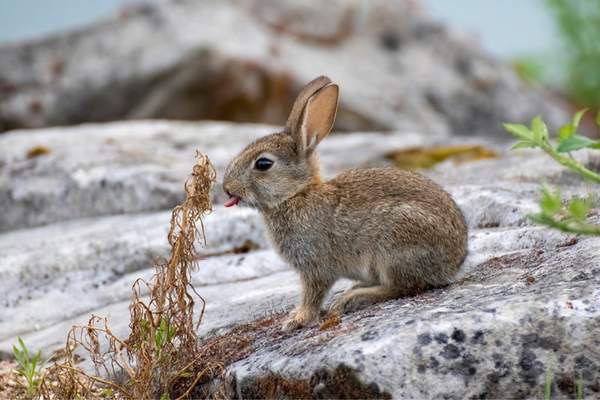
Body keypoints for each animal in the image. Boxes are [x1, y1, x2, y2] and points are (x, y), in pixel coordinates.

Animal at [221, 76, 468, 332]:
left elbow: (313, 295)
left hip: (394, 244)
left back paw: (352, 298)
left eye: (263, 164)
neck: (296, 195)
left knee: (403, 287)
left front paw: (297, 320)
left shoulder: (316, 266)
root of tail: (453, 263)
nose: (226, 187)